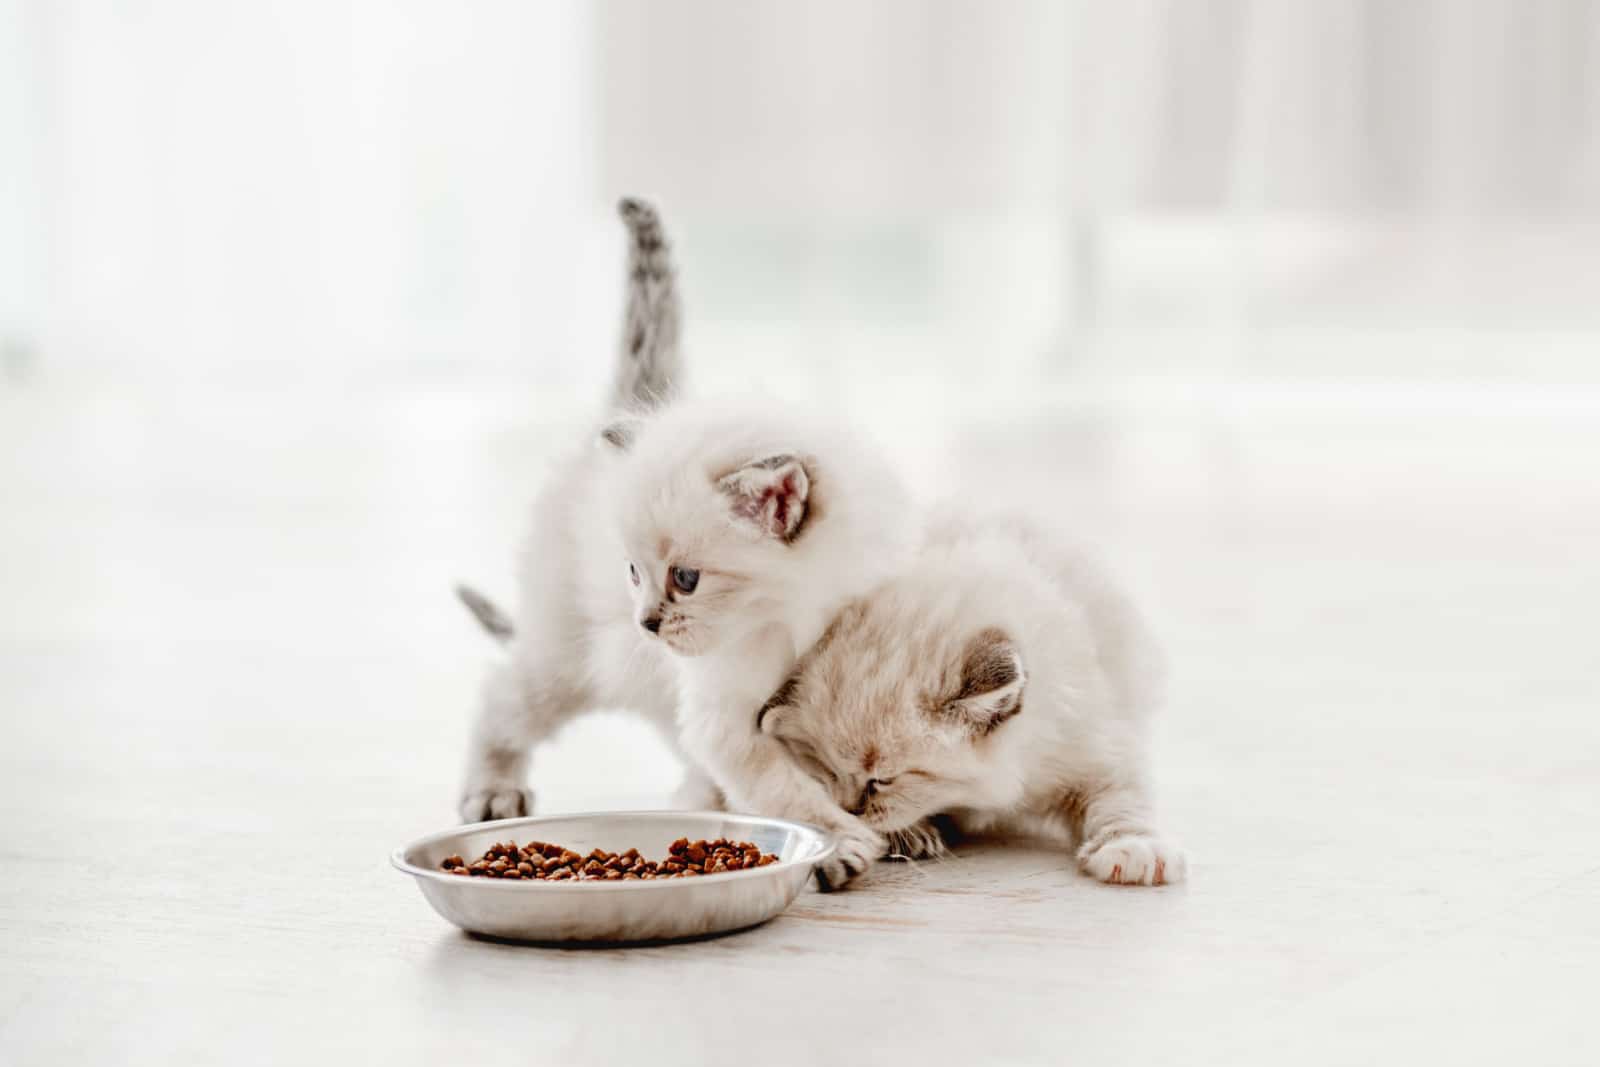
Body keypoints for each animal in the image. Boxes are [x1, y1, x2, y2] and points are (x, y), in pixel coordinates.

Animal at [457, 198, 921, 883]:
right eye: (632, 571)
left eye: (685, 578)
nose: (647, 623)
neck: (790, 619)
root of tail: (636, 406)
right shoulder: (726, 716)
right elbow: (782, 785)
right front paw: (839, 840)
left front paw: (909, 825)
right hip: (565, 657)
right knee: (502, 698)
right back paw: (492, 789)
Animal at [752, 511, 1190, 889]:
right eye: (825, 769)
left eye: (883, 780)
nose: (850, 809)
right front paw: (905, 834)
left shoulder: (1098, 745)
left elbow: (1122, 799)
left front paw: (1133, 848)